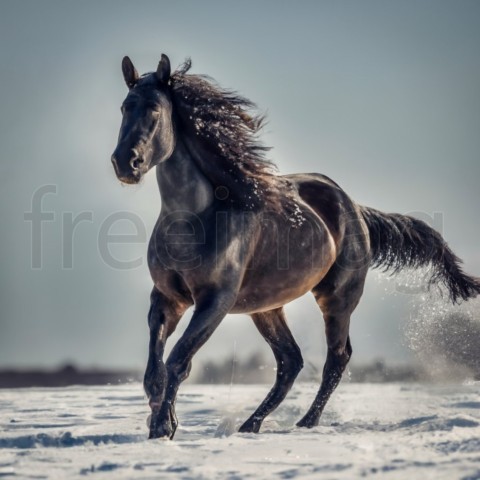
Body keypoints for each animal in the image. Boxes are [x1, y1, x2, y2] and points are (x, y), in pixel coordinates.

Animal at [111, 53, 480, 438]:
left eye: (155, 109)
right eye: (124, 107)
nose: (125, 163)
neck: (194, 219)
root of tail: (355, 208)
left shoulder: (214, 301)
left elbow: (178, 360)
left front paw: (163, 427)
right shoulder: (168, 297)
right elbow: (154, 369)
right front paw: (160, 420)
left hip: (336, 299)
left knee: (337, 357)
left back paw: (306, 423)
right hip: (267, 307)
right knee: (291, 361)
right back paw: (250, 425)